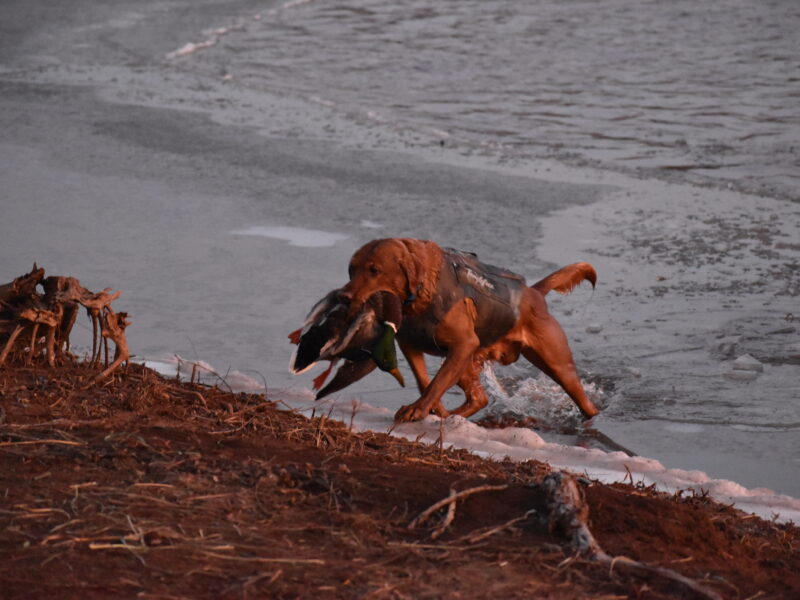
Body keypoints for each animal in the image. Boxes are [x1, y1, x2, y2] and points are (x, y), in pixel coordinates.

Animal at [340, 238, 600, 422]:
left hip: (558, 364)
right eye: (351, 269)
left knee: (585, 402)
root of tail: (534, 293)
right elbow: (424, 380)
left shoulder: (464, 343)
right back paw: (450, 417)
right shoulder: (412, 345)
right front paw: (431, 408)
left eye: (374, 270)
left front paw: (418, 409)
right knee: (480, 399)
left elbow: (435, 382)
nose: (344, 297)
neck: (423, 293)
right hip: (465, 361)